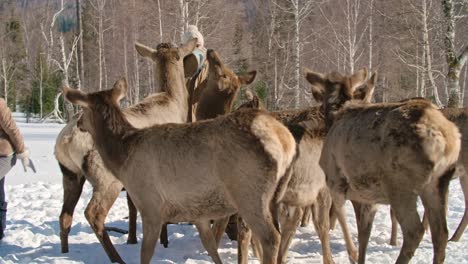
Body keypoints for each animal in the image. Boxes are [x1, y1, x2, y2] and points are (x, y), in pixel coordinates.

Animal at [55, 39, 198, 264]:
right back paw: (116, 258)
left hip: (70, 174)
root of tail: (66, 141)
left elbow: (132, 207)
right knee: (93, 213)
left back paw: (65, 252)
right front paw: (164, 241)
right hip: (106, 179)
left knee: (64, 216)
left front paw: (132, 239)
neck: (173, 101)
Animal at [63, 74, 296, 264]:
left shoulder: (150, 204)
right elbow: (211, 247)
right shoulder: (198, 213)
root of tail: (286, 141)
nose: (78, 123)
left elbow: (146, 253)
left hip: (249, 193)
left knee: (270, 238)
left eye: (82, 108)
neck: (122, 158)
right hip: (274, 197)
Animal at [314, 68, 460, 264]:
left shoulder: (334, 179)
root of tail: (446, 140)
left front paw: (352, 254)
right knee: (441, 233)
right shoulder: (368, 197)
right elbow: (364, 233)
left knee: (415, 231)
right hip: (438, 183)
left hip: (400, 185)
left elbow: (341, 217)